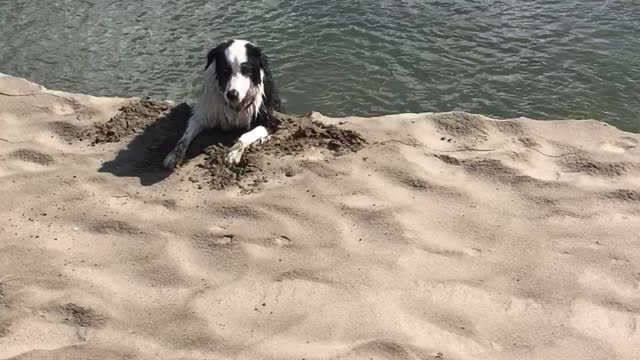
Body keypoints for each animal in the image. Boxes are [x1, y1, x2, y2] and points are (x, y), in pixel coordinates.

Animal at [162, 39, 280, 169]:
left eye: (245, 69)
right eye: (225, 70)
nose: (232, 94)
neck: (235, 106)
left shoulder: (269, 120)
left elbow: (245, 136)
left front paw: (233, 153)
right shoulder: (202, 116)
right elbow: (184, 138)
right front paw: (174, 155)